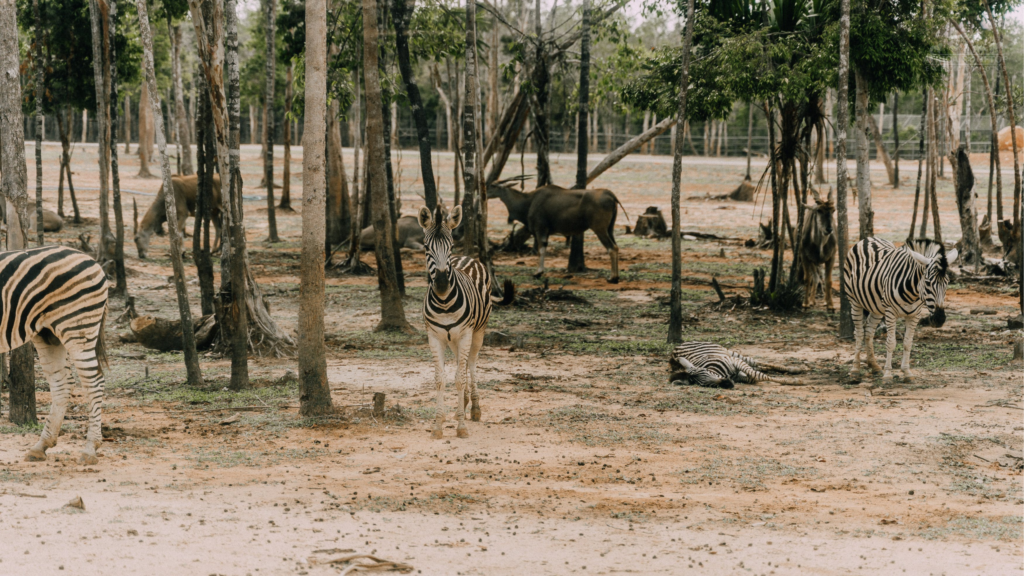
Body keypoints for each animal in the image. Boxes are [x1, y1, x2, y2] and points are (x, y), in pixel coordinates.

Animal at [1, 243, 109, 463]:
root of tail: (92, 260)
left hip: (78, 327)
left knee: (94, 383)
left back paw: (90, 449)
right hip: (48, 334)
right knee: (62, 384)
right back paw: (41, 446)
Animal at [415, 203, 512, 436]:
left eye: (450, 246)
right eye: (426, 247)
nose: (441, 284)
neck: (444, 303)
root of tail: (467, 257)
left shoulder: (466, 334)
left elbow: (459, 378)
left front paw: (461, 426)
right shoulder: (435, 337)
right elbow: (440, 379)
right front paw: (438, 424)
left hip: (477, 332)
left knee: (472, 363)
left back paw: (474, 407)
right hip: (453, 339)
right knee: (464, 362)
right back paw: (465, 403)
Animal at [663, 340, 798, 385]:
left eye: (707, 372)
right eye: (706, 385)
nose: (727, 383)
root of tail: (677, 346)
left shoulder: (735, 362)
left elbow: (758, 375)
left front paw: (794, 382)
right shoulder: (741, 377)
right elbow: (755, 377)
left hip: (730, 353)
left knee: (757, 363)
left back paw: (796, 369)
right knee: (758, 366)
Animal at [843, 235, 954, 379]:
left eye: (947, 282)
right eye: (928, 282)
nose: (939, 319)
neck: (912, 293)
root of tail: (868, 238)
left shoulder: (915, 315)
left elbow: (907, 343)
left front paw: (907, 372)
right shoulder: (890, 312)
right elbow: (891, 343)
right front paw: (888, 375)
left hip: (876, 307)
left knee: (869, 331)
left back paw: (874, 366)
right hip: (855, 301)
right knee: (859, 333)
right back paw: (855, 369)